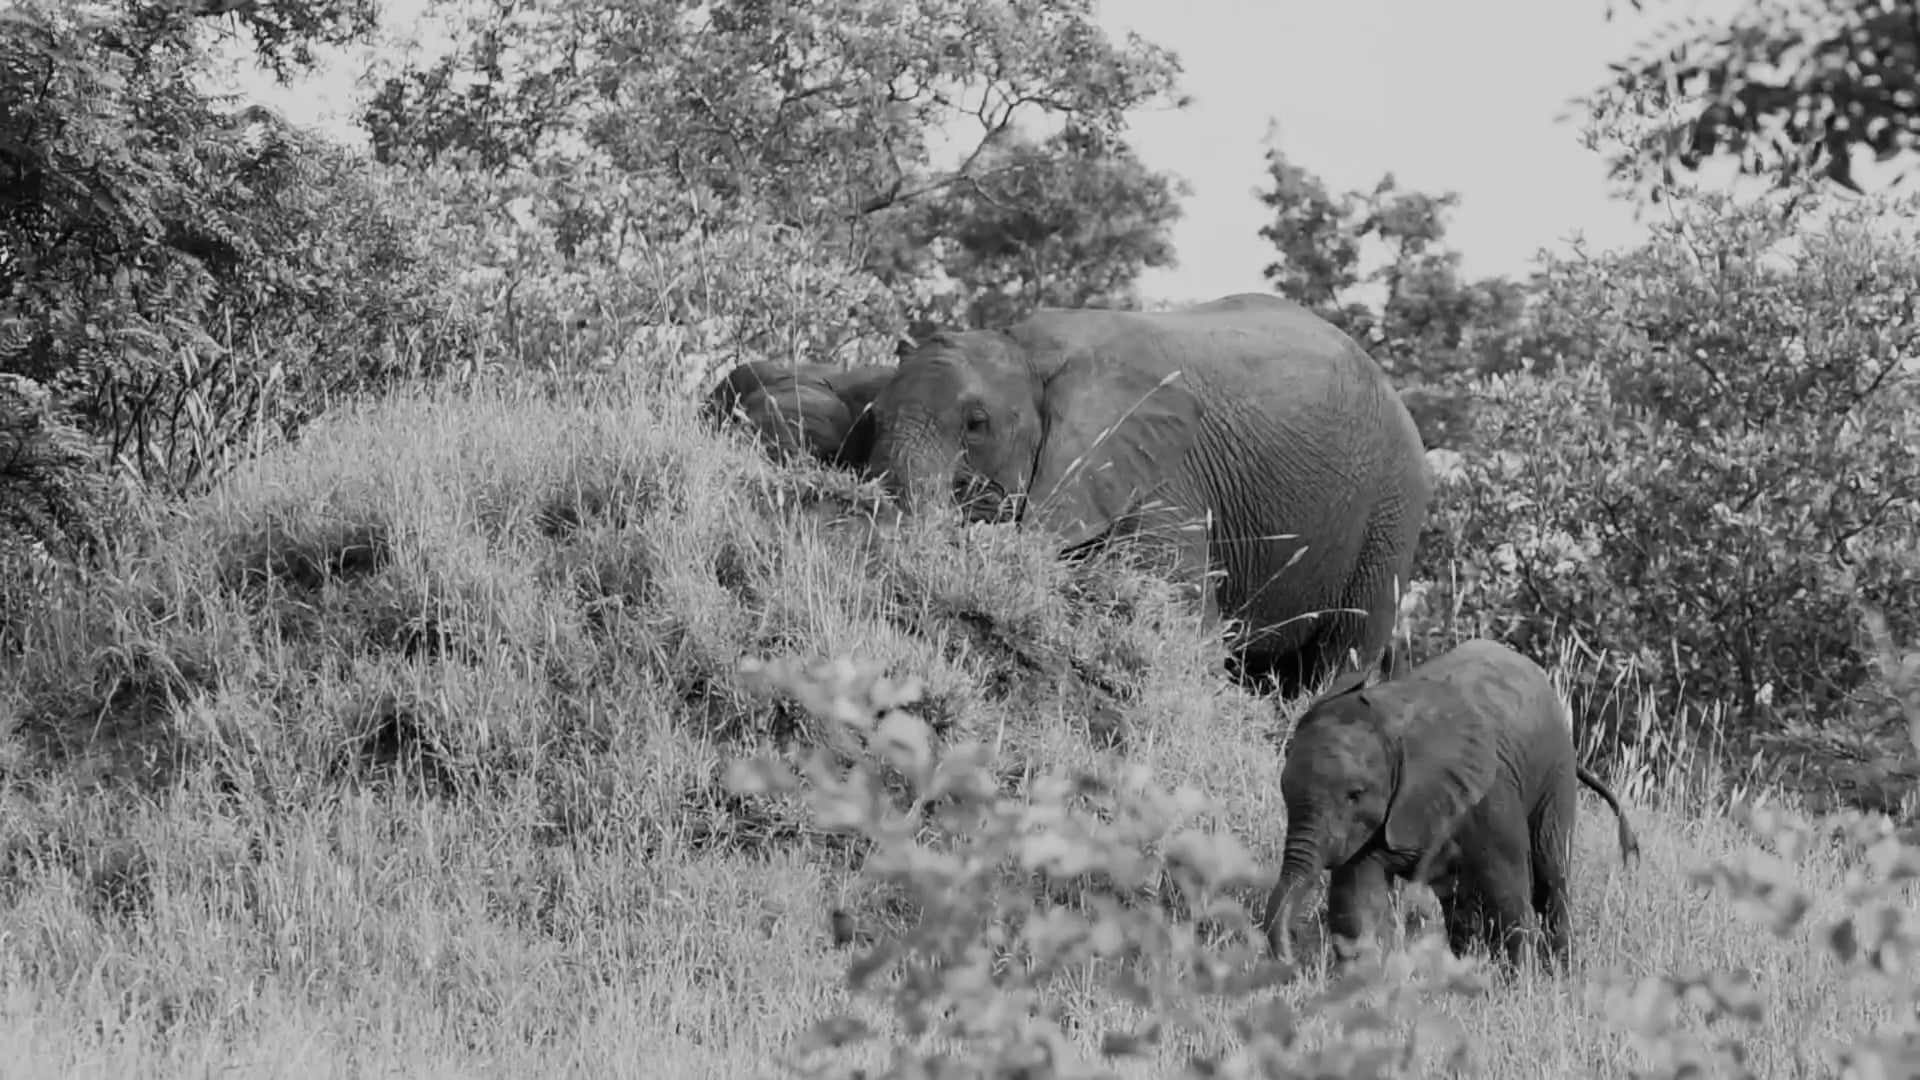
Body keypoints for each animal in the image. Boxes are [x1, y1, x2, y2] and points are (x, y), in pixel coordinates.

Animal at [863, 292, 1433, 698]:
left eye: (976, 424)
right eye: (874, 415)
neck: (1028, 349)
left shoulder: (1163, 479)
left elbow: (1183, 626)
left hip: (1391, 513)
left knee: (1341, 658)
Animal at [1260, 637, 1640, 976]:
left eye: (1355, 794)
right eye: (1283, 788)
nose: (1292, 961)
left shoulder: (1491, 796)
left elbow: (1507, 892)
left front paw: (1519, 986)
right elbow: (1359, 900)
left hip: (1556, 776)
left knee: (1550, 875)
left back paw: (1562, 974)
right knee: (1461, 903)